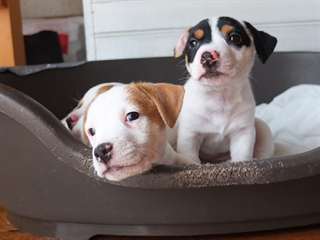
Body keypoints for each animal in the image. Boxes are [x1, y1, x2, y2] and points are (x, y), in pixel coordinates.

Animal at [174, 16, 276, 163]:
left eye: (234, 38)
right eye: (193, 43)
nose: (207, 56)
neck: (219, 94)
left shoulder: (242, 134)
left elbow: (241, 158)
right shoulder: (190, 135)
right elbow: (191, 159)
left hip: (263, 129)